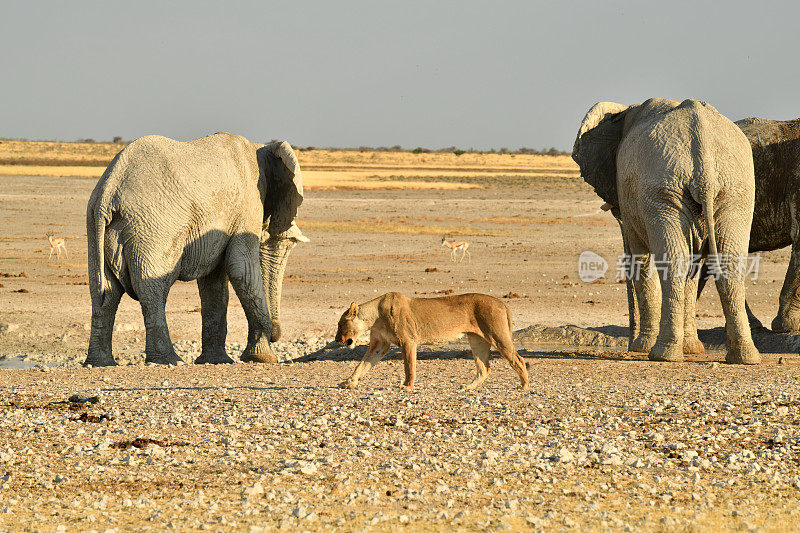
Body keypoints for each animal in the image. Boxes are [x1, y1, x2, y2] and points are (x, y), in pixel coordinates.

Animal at [85, 131, 306, 368]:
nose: (276, 334)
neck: (260, 148)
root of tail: (107, 194)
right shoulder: (247, 206)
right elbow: (241, 268)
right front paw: (262, 358)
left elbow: (214, 282)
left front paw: (217, 361)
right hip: (154, 227)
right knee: (152, 289)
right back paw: (169, 360)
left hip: (94, 224)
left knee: (104, 292)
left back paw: (100, 363)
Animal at [572, 97, 760, 364]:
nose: (630, 345)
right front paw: (691, 349)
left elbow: (640, 258)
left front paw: (642, 347)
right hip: (734, 189)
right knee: (726, 262)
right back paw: (743, 357)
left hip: (664, 189)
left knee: (673, 262)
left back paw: (661, 354)